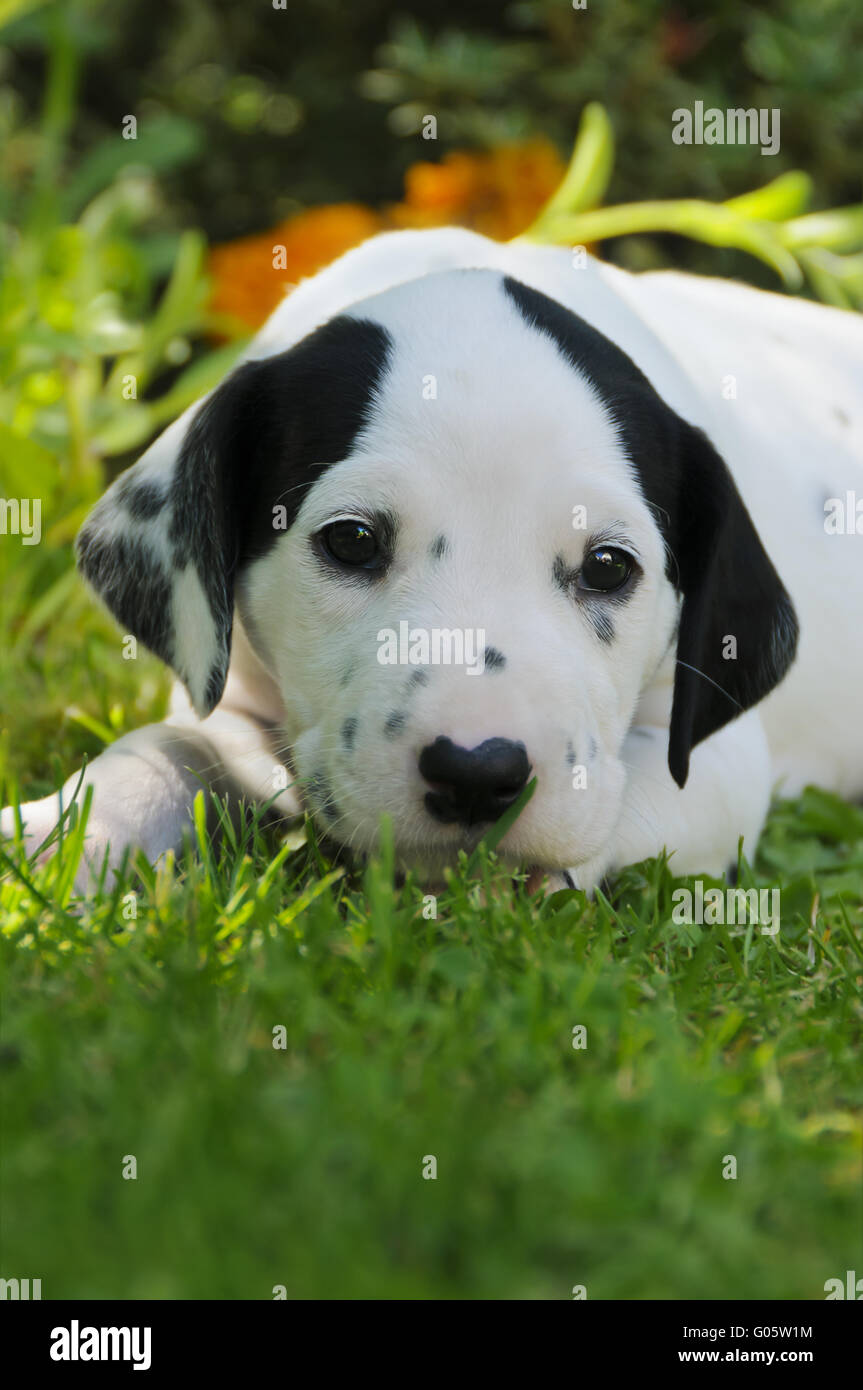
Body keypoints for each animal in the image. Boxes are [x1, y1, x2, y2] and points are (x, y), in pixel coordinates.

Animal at [1, 230, 861, 889]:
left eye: (609, 566)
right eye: (351, 540)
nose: (477, 774)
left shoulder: (720, 765)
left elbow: (622, 799)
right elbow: (166, 746)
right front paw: (65, 835)